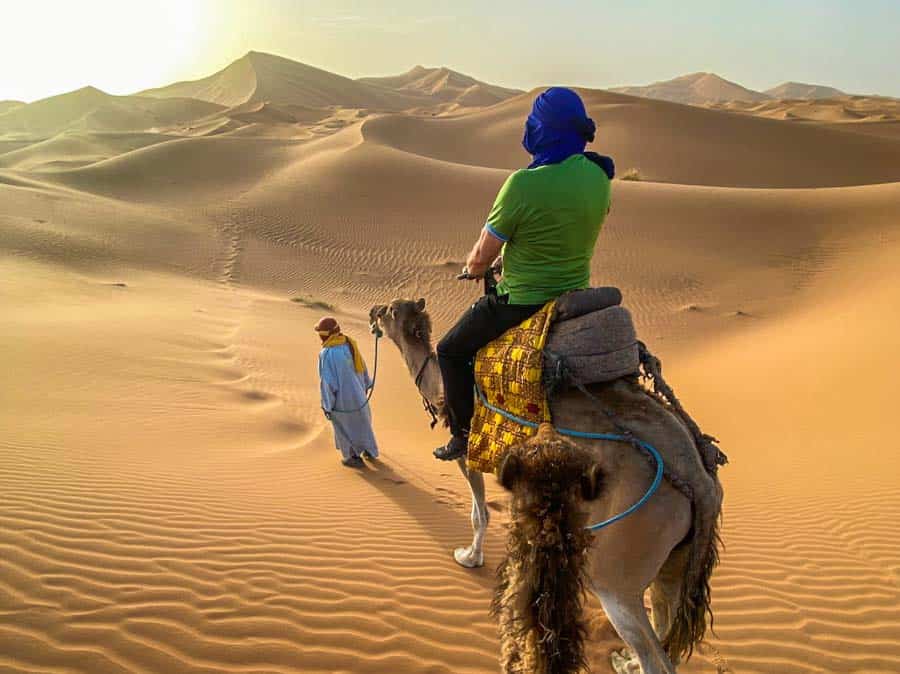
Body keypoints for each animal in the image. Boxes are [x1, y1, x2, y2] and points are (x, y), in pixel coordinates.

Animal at [370, 298, 728, 672]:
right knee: (664, 623)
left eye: (390, 312)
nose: (373, 312)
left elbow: (479, 514)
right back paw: (625, 660)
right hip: (674, 561)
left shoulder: (467, 452)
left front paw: (469, 557)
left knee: (653, 652)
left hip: (619, 572)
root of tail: (700, 481)